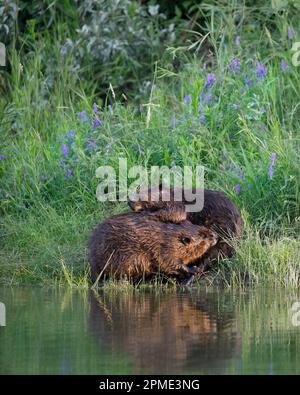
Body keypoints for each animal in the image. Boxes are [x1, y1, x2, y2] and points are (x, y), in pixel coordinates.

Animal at [88, 212, 217, 284]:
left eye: (204, 229)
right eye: (204, 236)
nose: (215, 236)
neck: (171, 237)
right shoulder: (163, 249)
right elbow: (169, 263)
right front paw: (194, 269)